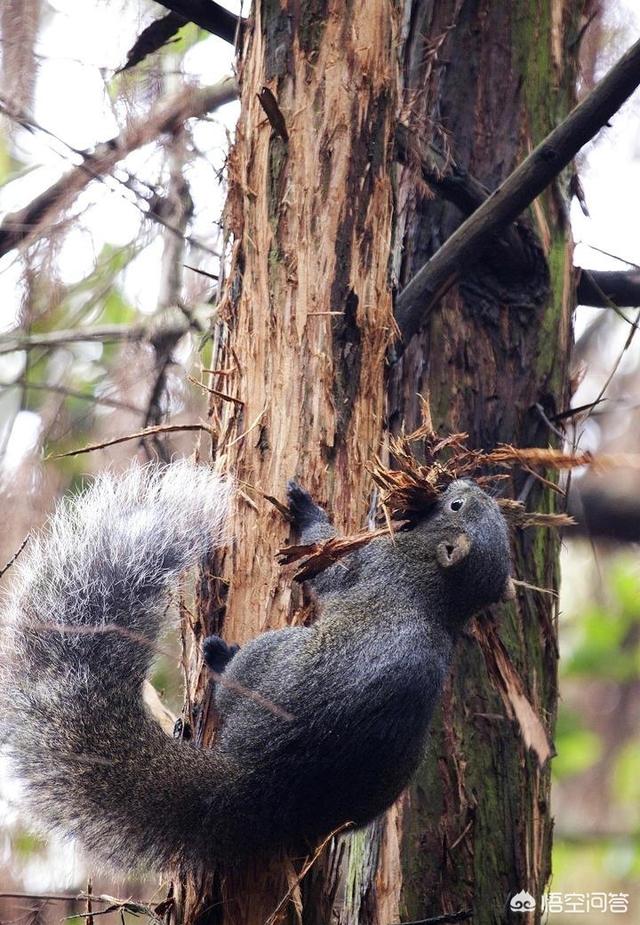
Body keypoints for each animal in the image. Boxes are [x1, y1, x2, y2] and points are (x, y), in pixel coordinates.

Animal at [0, 462, 510, 872]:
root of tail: (258, 783)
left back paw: (220, 658)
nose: (461, 481)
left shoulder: (373, 565)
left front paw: (306, 509)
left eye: (456, 505)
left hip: (270, 658)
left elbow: (329, 567)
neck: (437, 594)